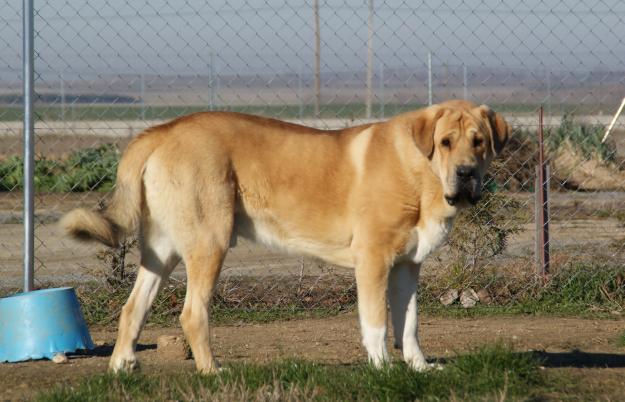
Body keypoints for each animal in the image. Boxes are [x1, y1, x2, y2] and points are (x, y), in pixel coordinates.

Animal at [59, 99, 508, 372]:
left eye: (478, 142)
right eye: (445, 142)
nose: (466, 173)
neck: (417, 171)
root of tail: (162, 130)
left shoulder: (407, 268)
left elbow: (410, 324)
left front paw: (419, 368)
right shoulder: (373, 262)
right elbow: (377, 324)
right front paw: (382, 369)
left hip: (161, 252)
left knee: (132, 309)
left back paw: (122, 367)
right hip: (209, 244)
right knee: (192, 313)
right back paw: (212, 371)